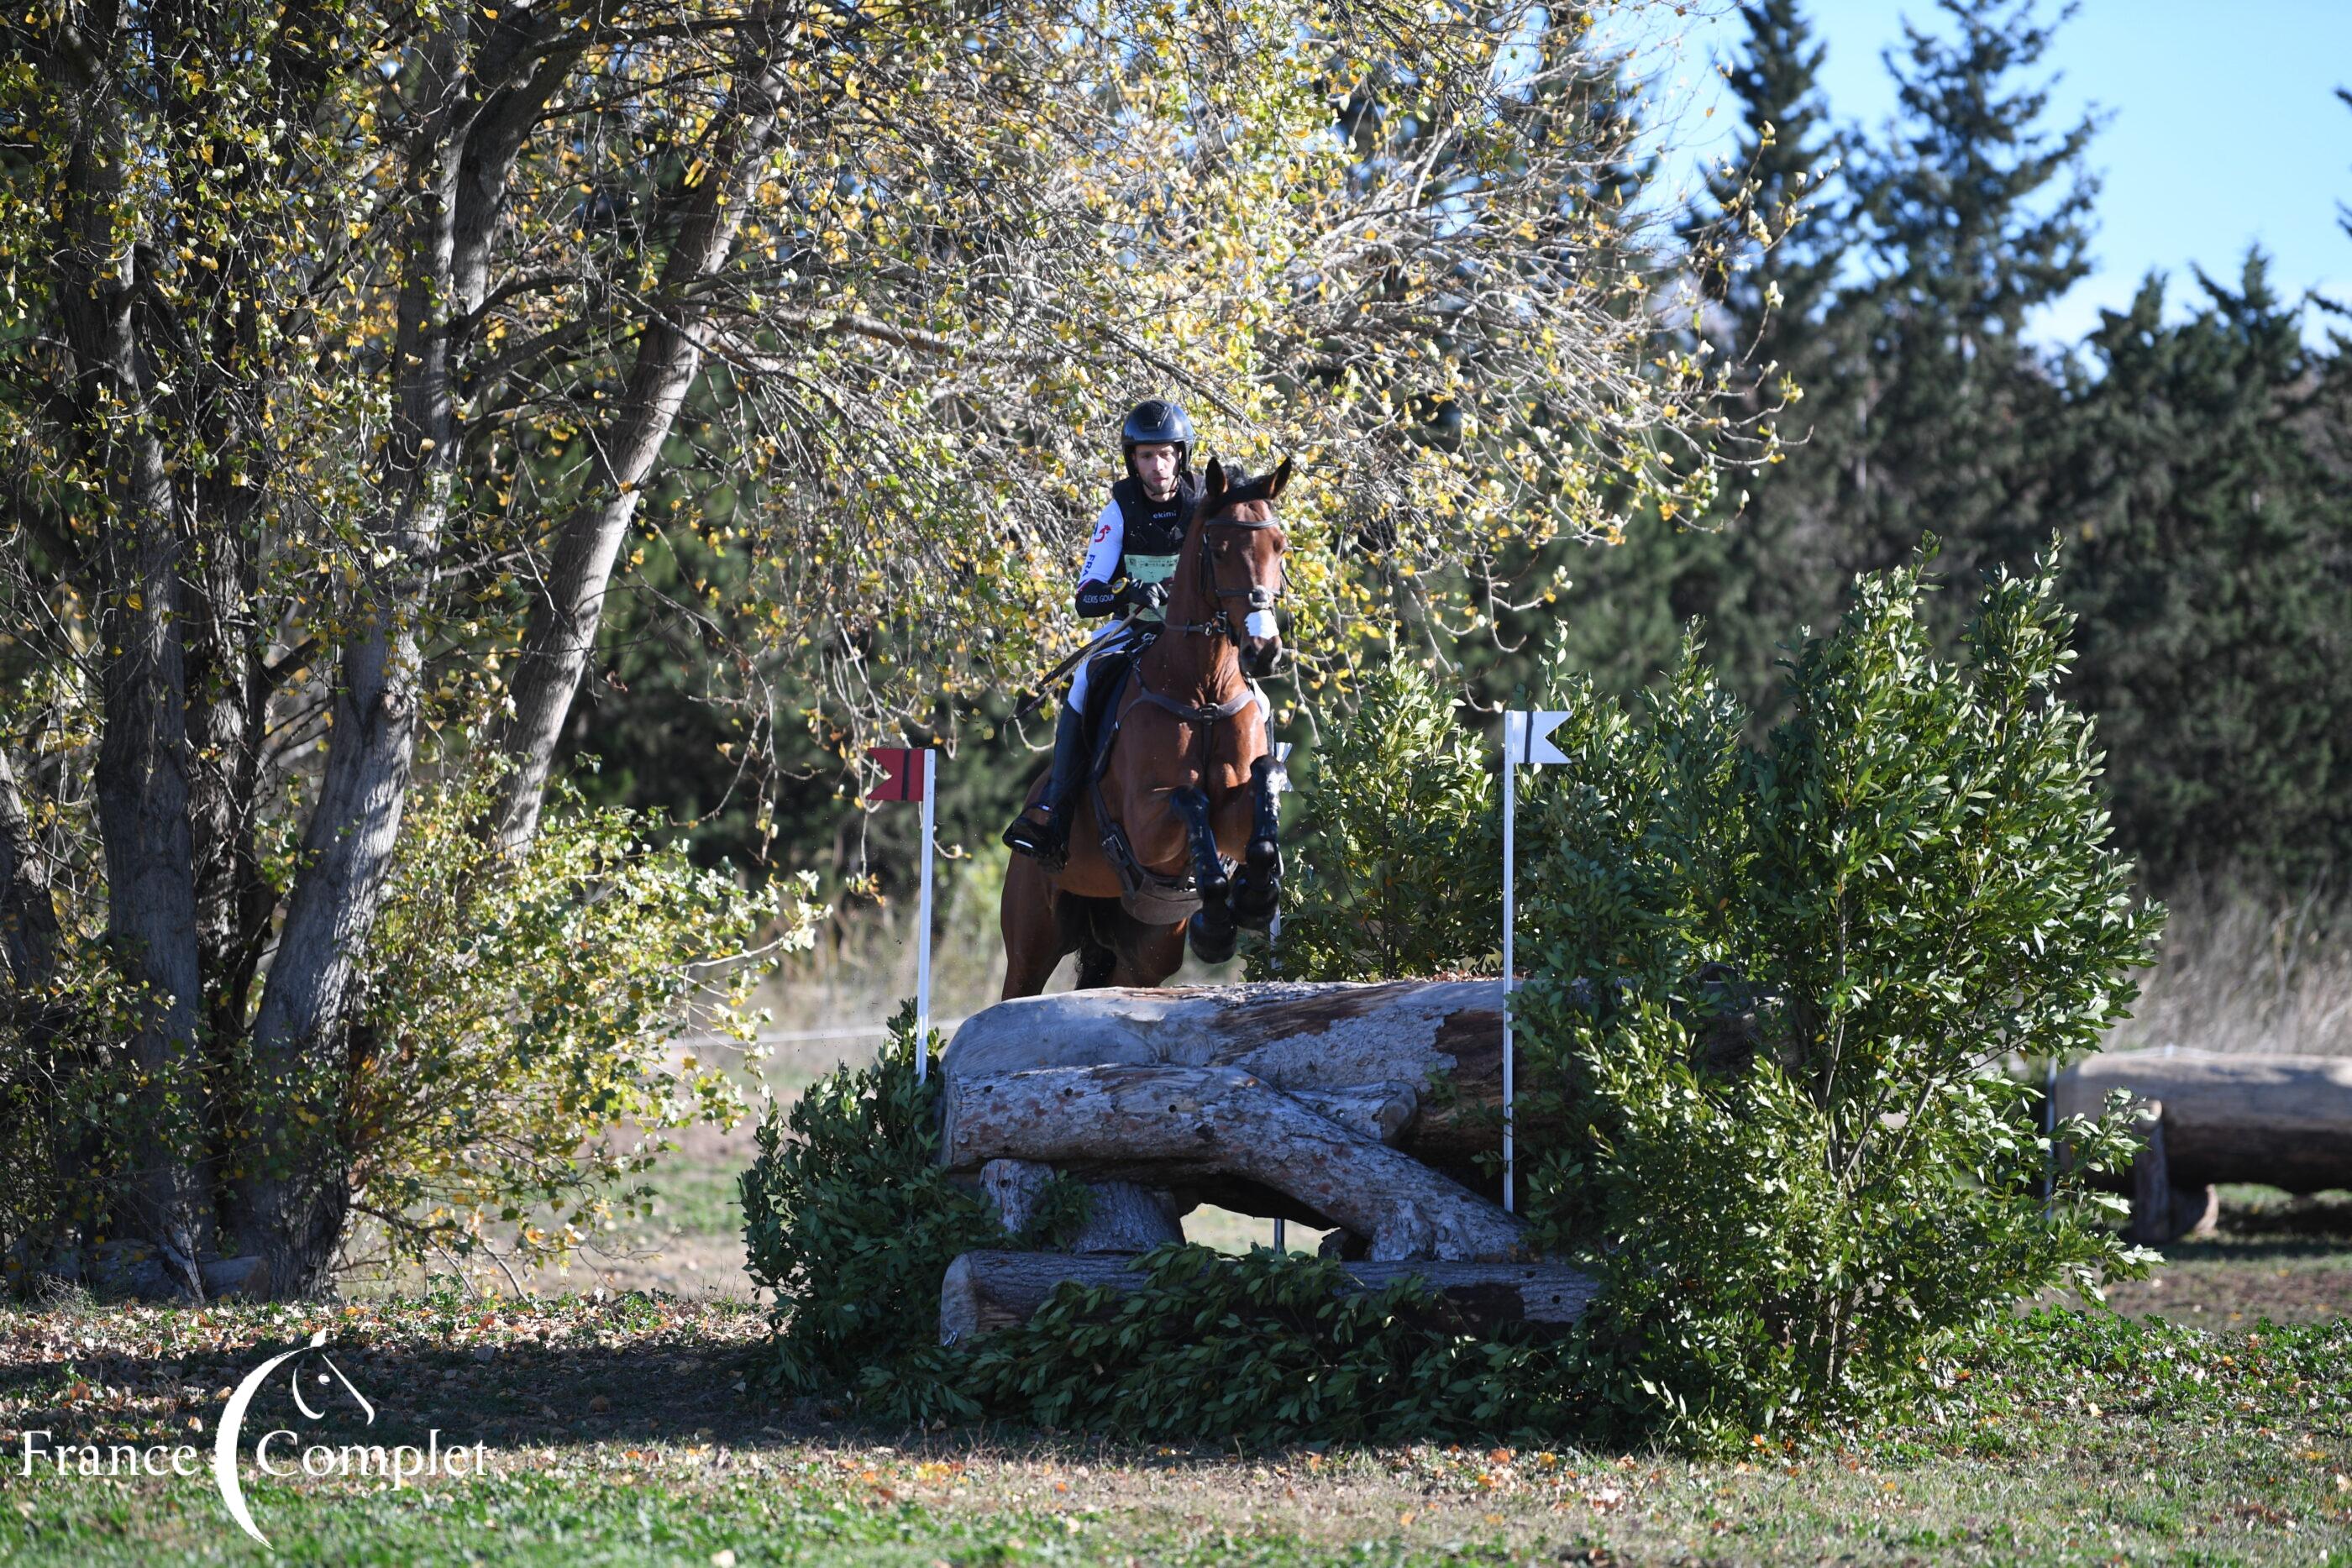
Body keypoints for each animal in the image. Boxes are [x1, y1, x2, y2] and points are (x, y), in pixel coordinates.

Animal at [999, 455, 1291, 998]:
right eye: (1219, 551)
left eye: (1279, 546)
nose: (1263, 651)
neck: (1202, 692)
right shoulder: (1146, 828)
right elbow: (1190, 799)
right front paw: (1218, 919)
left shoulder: (1234, 813)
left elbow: (1263, 780)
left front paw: (1255, 897)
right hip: (1032, 940)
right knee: (1018, 984)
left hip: (1146, 953)